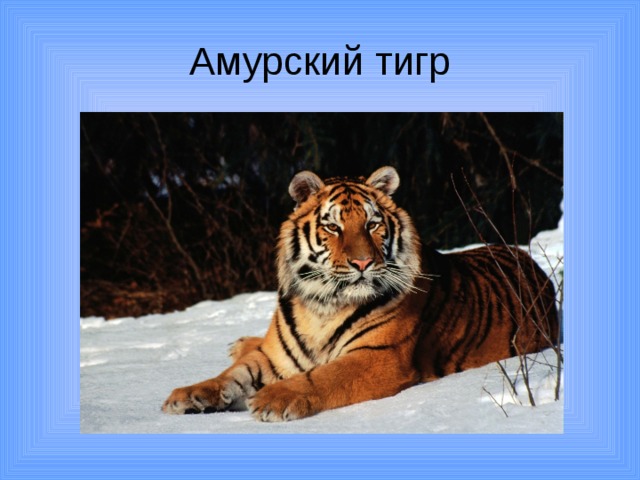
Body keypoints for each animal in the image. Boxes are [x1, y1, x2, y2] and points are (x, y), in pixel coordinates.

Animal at [162, 166, 559, 421]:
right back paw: (239, 343)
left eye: (372, 224)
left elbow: (322, 376)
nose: (363, 262)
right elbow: (231, 375)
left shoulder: (377, 356)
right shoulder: (275, 356)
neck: (322, 306)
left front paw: (273, 399)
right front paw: (187, 395)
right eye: (333, 227)